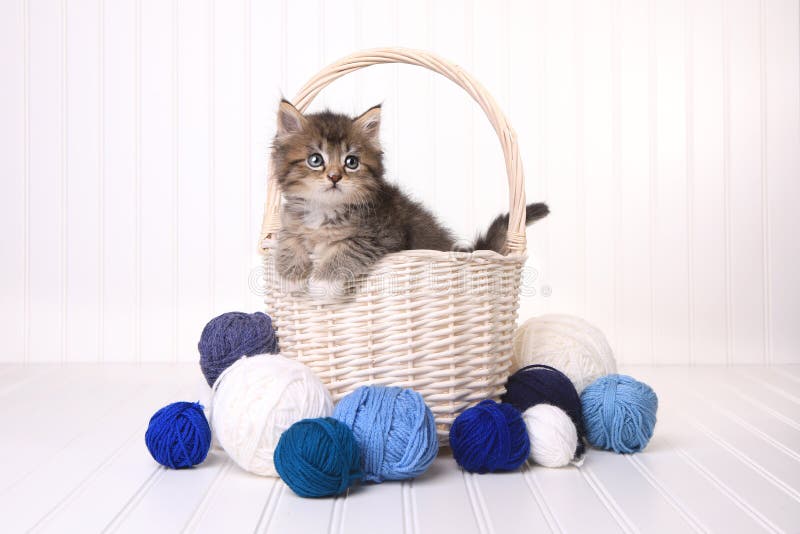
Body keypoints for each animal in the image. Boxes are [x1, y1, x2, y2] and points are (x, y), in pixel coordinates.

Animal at [272, 100, 548, 300]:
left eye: (351, 162)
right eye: (315, 160)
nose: (334, 177)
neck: (324, 209)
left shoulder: (383, 235)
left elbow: (346, 250)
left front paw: (321, 284)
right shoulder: (289, 223)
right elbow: (288, 241)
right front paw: (290, 279)